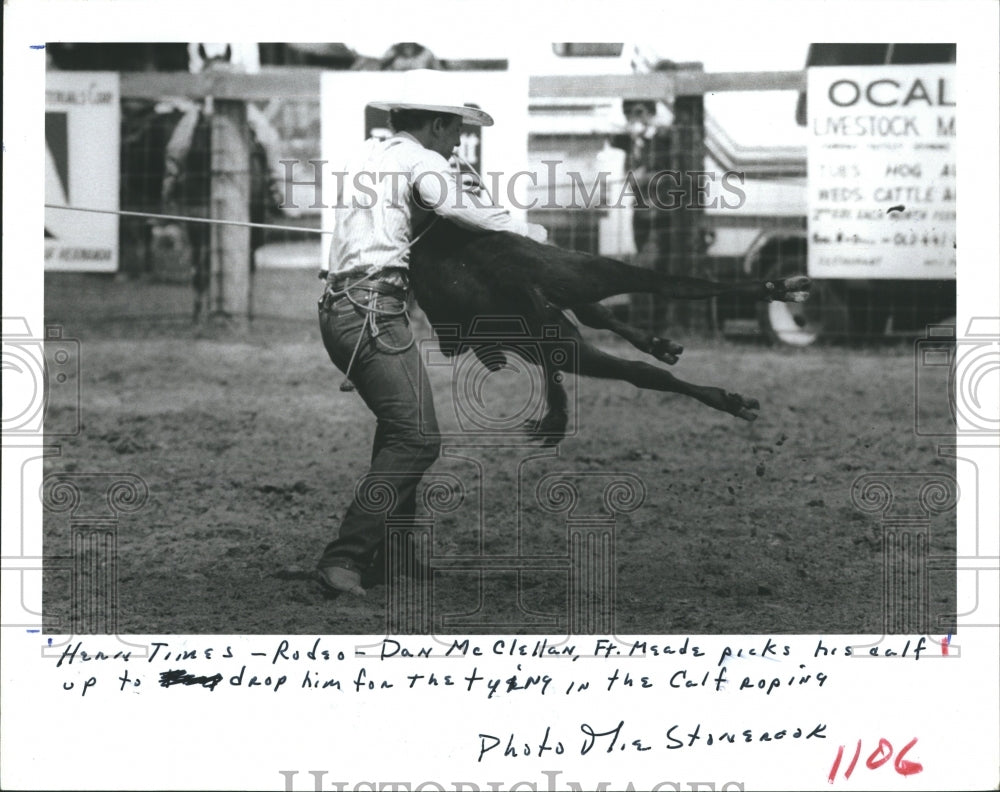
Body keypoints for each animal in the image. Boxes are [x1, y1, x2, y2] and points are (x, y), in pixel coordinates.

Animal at [408, 217, 812, 446]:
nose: (448, 347)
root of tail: (515, 276)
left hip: (549, 322)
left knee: (637, 369)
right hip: (579, 276)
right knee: (668, 284)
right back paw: (777, 289)